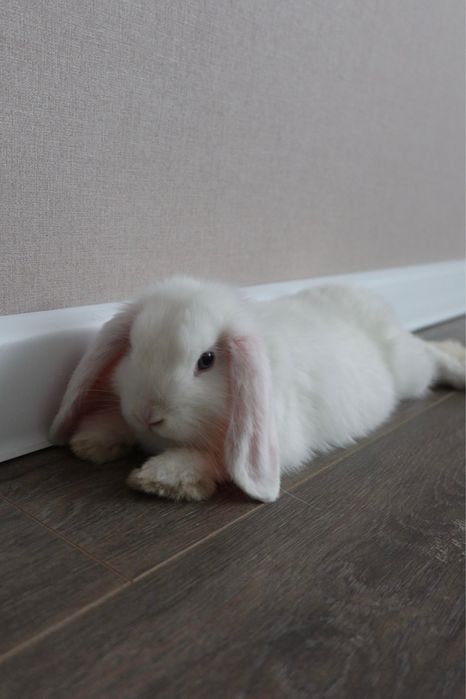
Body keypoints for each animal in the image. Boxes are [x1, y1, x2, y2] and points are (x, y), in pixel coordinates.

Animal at [50, 276, 465, 503]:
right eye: (134, 346)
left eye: (206, 360)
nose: (149, 414)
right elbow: (117, 424)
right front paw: (92, 442)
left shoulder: (269, 441)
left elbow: (223, 458)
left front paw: (163, 478)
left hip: (410, 371)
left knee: (431, 354)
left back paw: (458, 367)